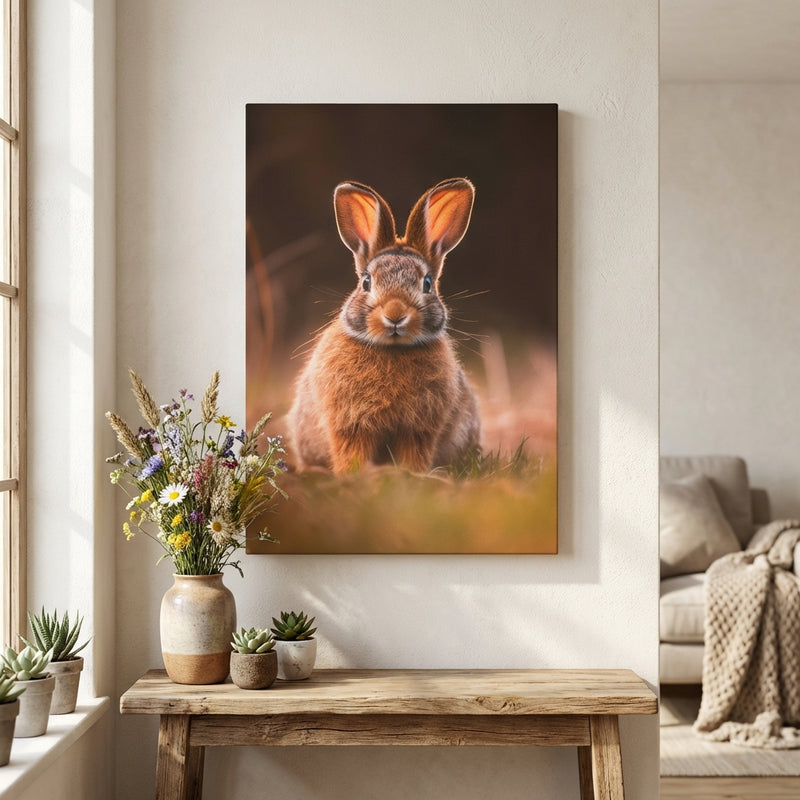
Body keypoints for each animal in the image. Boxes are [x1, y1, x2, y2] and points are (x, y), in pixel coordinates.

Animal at [288, 178, 481, 475]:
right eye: (366, 282)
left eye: (427, 284)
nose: (395, 314)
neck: (392, 349)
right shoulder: (350, 424)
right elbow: (350, 451)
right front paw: (355, 475)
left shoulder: (418, 429)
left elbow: (414, 453)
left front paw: (410, 475)